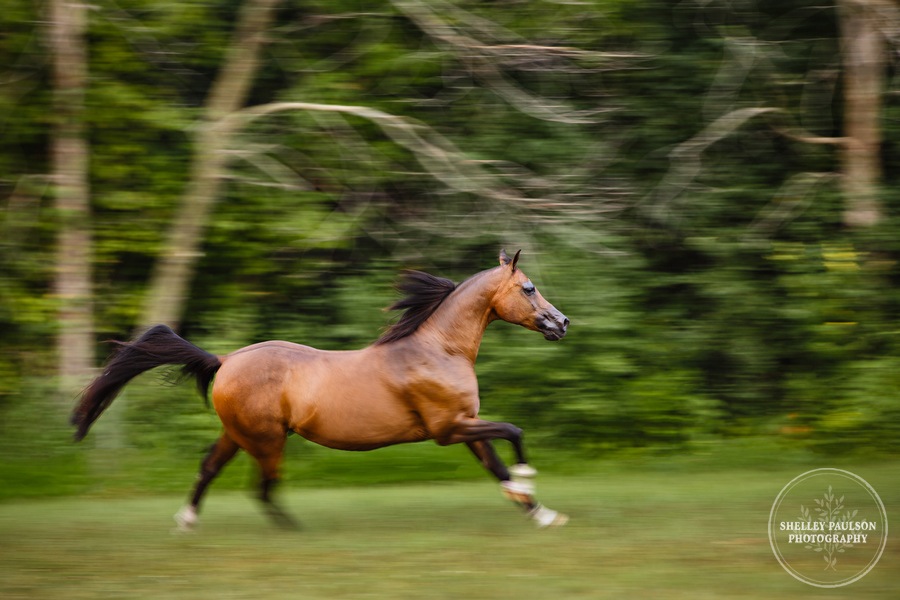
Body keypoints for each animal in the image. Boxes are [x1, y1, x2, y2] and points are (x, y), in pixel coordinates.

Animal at [75, 250, 568, 528]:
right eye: (529, 288)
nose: (562, 323)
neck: (438, 350)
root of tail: (227, 360)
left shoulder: (464, 424)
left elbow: (496, 467)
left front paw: (542, 512)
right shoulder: (450, 429)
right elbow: (514, 433)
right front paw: (528, 481)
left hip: (238, 434)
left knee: (211, 470)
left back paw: (187, 520)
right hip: (266, 439)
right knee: (264, 487)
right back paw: (293, 530)